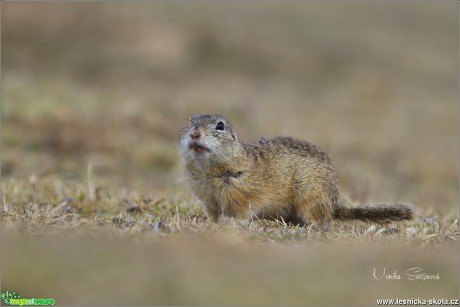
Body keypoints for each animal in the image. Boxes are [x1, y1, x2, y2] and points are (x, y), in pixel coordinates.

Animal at [180, 115, 414, 229]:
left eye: (220, 126)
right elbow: (212, 215)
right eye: (189, 122)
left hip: (308, 196)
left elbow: (242, 213)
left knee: (321, 220)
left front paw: (232, 224)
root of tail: (334, 205)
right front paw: (208, 223)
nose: (194, 134)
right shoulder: (209, 202)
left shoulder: (245, 197)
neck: (209, 171)